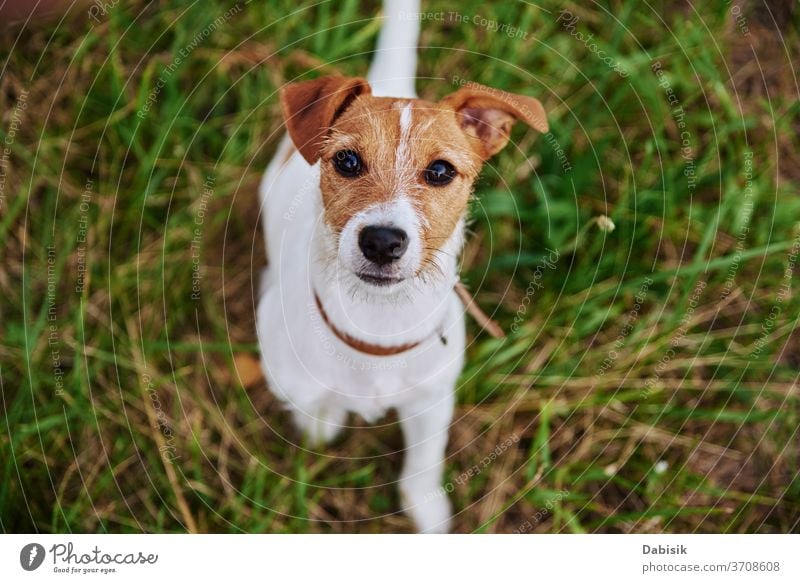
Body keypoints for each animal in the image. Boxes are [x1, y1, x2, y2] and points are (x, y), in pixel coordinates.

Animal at [260, 0, 548, 532]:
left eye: (440, 171)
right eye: (347, 162)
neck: (378, 321)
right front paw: (323, 423)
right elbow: (312, 410)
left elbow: (423, 460)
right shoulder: (296, 383)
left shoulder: (432, 401)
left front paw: (428, 511)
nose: (382, 241)